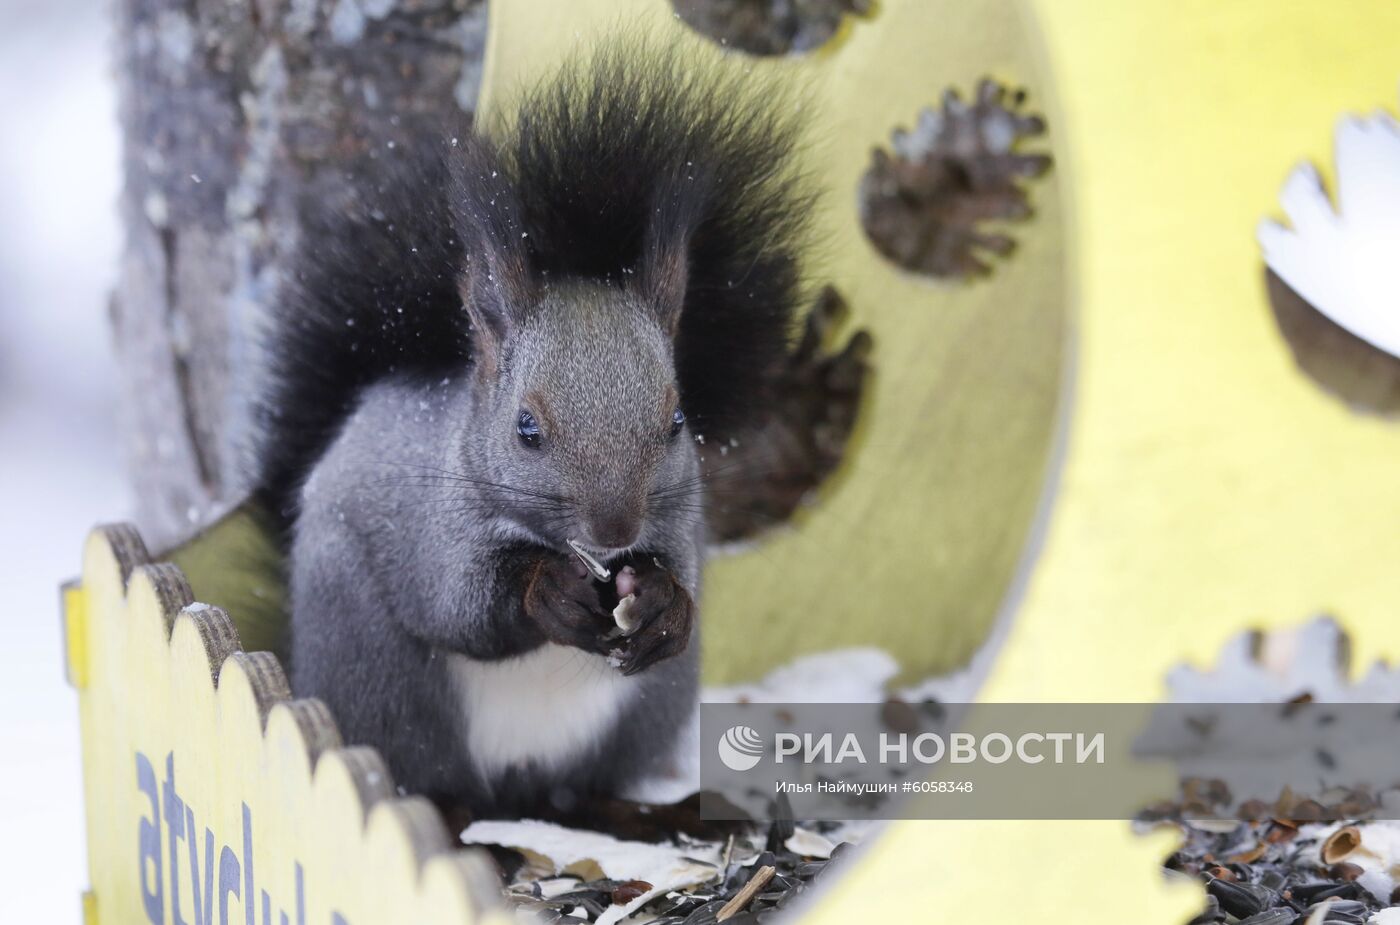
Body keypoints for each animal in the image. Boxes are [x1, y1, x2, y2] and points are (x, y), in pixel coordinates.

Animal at [247, 43, 868, 828]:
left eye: (676, 420)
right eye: (526, 428)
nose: (615, 528)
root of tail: (520, 790)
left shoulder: (682, 519)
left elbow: (684, 577)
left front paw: (665, 603)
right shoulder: (428, 526)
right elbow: (457, 602)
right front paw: (543, 590)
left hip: (642, 715)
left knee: (589, 790)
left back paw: (652, 812)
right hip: (379, 678)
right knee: (431, 782)